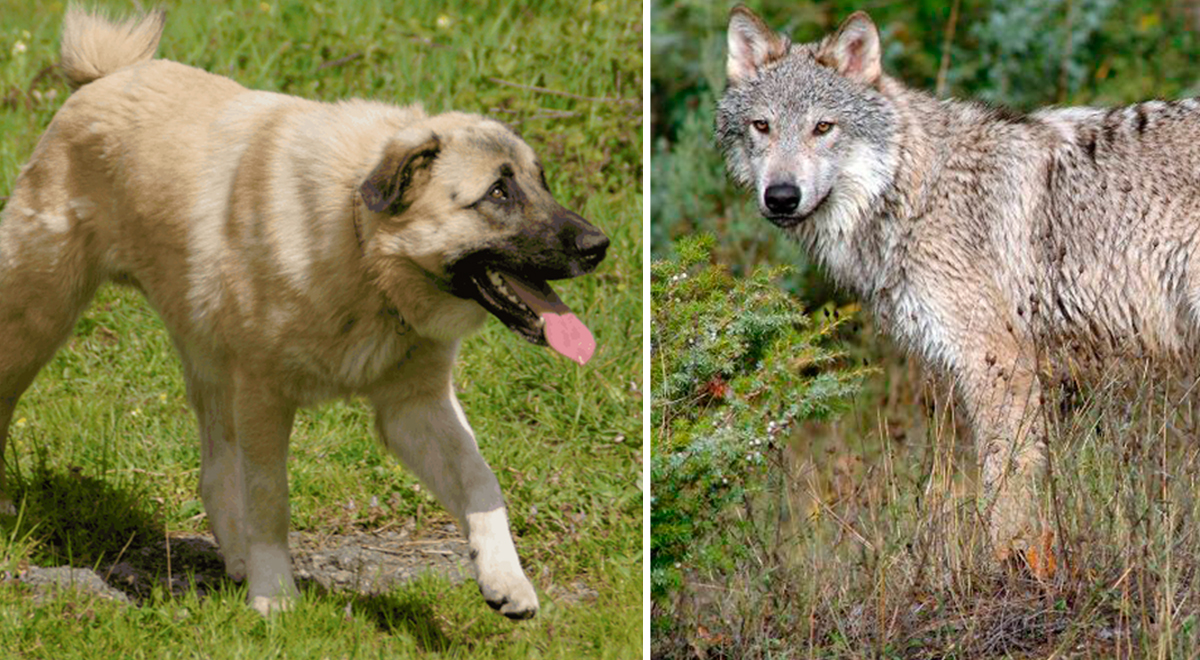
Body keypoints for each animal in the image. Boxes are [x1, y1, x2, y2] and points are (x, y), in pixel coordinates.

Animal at [0, 6, 609, 619]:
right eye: (498, 193)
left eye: (541, 183)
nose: (598, 246)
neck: (361, 245)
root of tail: (103, 77)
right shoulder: (265, 397)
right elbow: (271, 500)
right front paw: (275, 595)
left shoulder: (416, 407)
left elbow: (481, 482)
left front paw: (506, 578)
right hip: (36, 319)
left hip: (209, 363)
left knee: (215, 473)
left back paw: (237, 560)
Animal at [715, 5, 1200, 571]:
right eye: (762, 126)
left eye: (823, 127)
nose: (781, 196)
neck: (916, 191)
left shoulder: (999, 365)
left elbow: (1006, 491)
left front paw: (1015, 570)